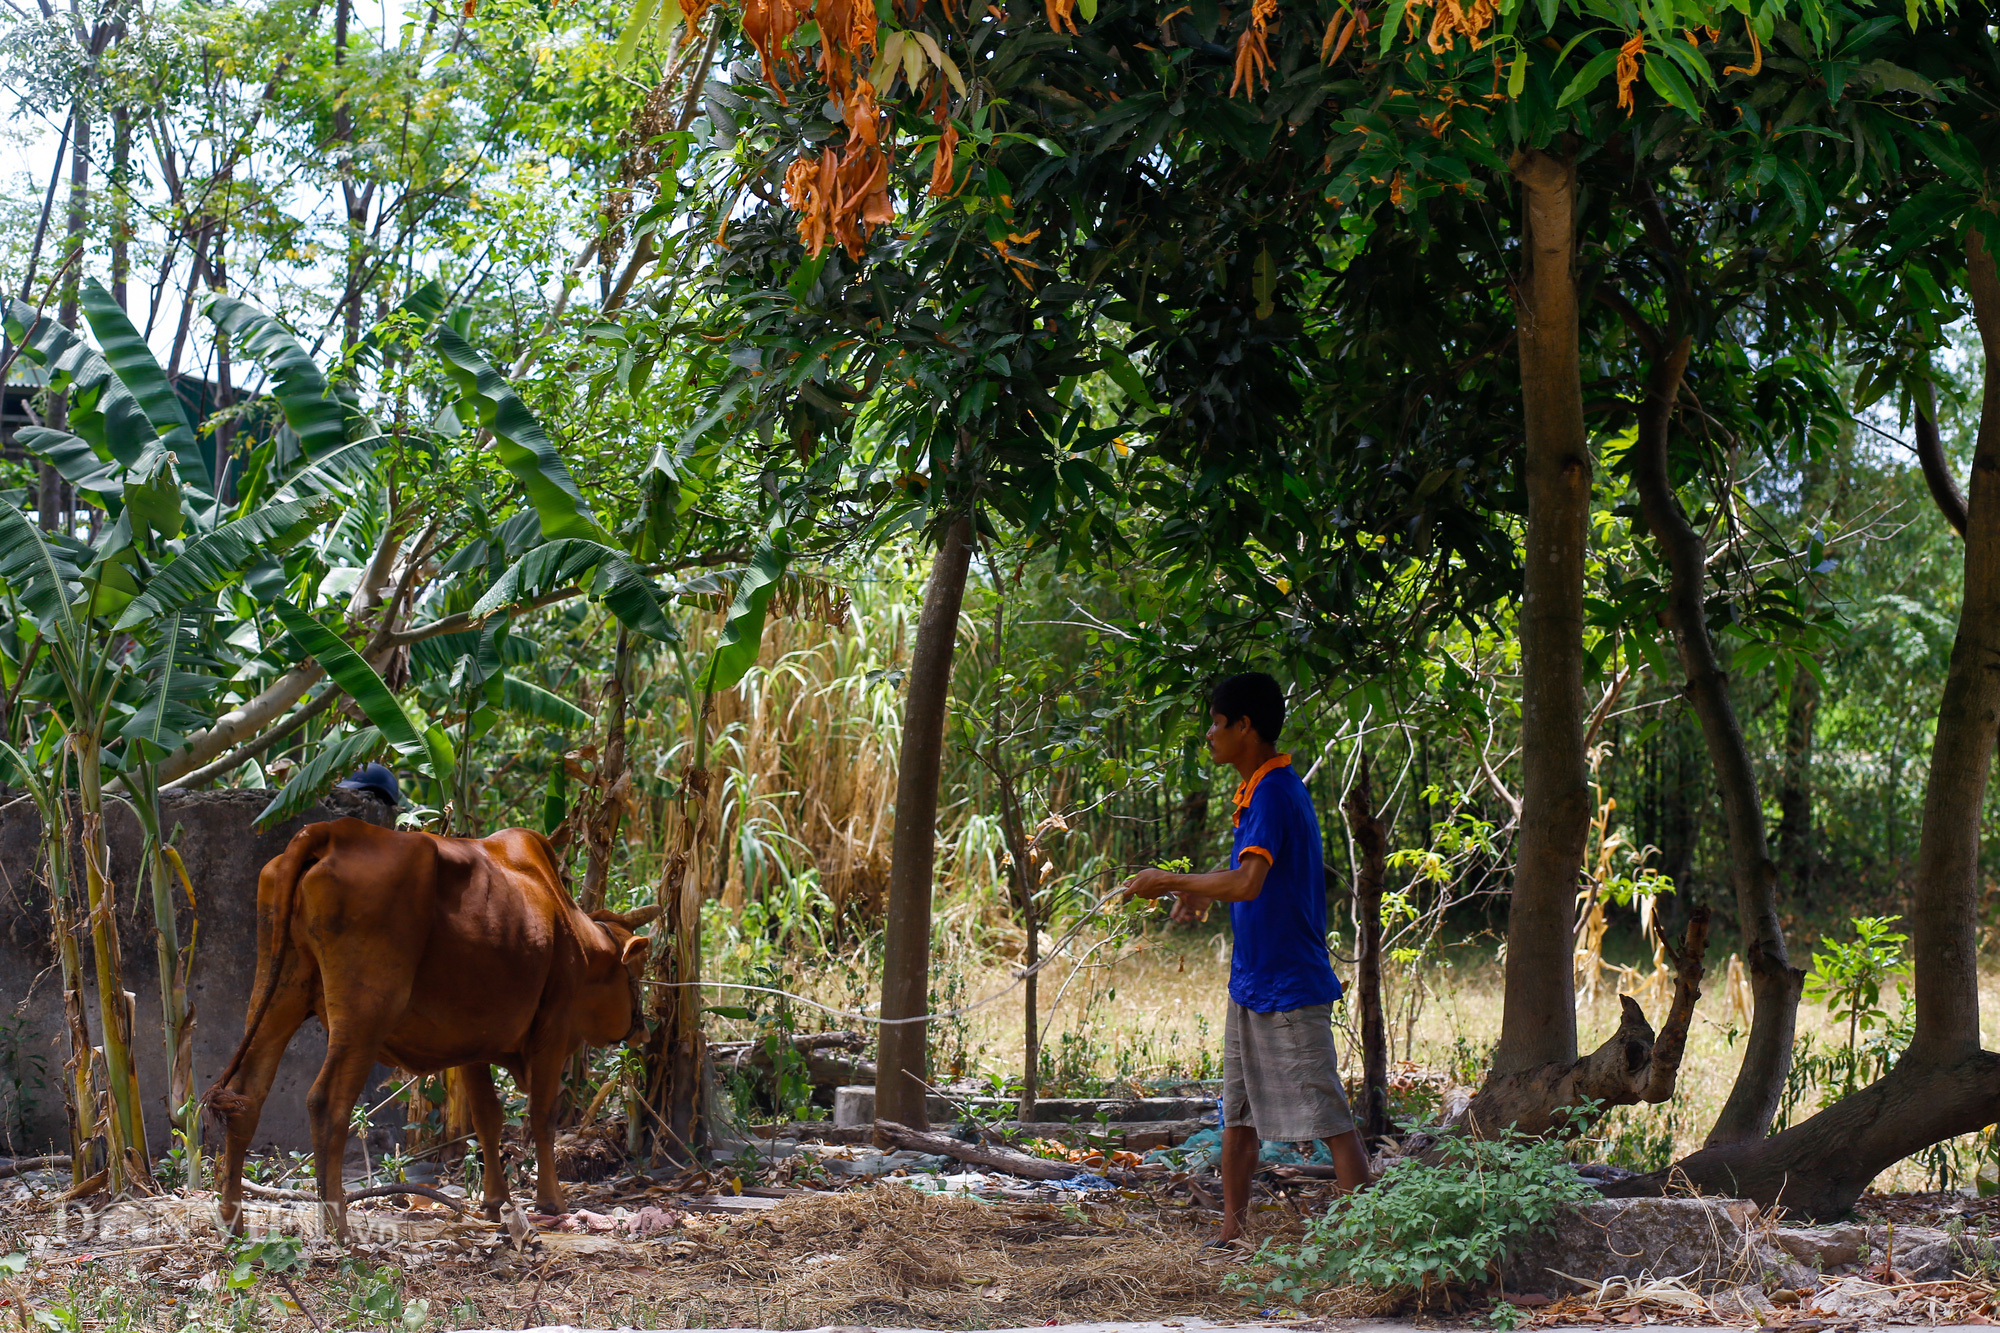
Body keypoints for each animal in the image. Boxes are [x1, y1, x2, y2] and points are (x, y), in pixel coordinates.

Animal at [207, 816, 652, 1232]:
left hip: (281, 988)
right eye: (637, 973)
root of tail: (333, 830)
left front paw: (496, 1202)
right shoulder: (552, 1026)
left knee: (247, 1093)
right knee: (327, 1102)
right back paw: (339, 1229)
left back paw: (232, 1221)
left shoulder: (475, 1041)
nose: (643, 1029)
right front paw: (551, 1201)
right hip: (365, 1012)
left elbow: (487, 1120)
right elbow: (542, 1116)